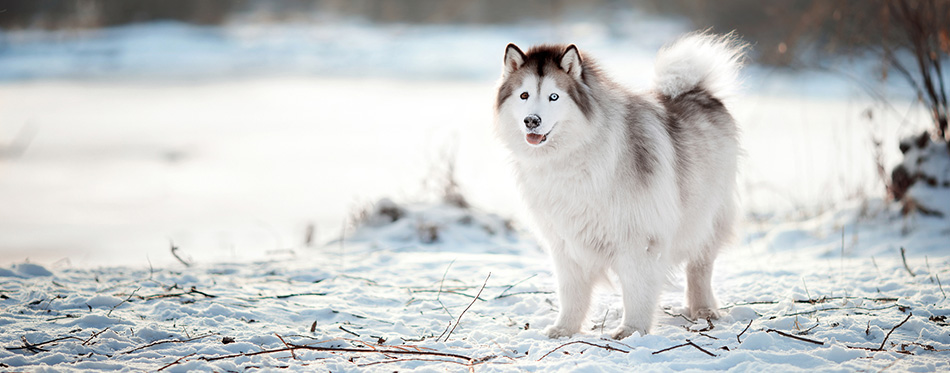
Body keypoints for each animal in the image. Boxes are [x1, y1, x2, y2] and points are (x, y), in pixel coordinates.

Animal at [494, 33, 748, 338]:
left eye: (554, 96)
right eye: (524, 95)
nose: (532, 120)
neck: (574, 156)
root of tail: (698, 91)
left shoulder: (639, 237)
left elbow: (637, 289)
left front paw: (632, 331)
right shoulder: (565, 243)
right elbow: (571, 293)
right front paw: (565, 329)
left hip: (704, 217)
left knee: (700, 266)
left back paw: (703, 310)